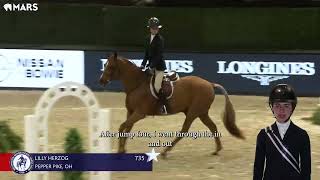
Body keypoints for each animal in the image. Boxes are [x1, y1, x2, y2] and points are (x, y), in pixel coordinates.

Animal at [100, 52, 245, 158]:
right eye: (105, 64)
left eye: (111, 67)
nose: (101, 81)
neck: (137, 85)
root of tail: (210, 84)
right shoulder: (130, 111)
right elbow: (127, 128)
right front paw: (122, 150)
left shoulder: (139, 113)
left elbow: (122, 126)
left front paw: (120, 150)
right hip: (201, 113)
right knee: (213, 127)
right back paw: (217, 150)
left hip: (193, 112)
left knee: (184, 131)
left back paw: (165, 151)